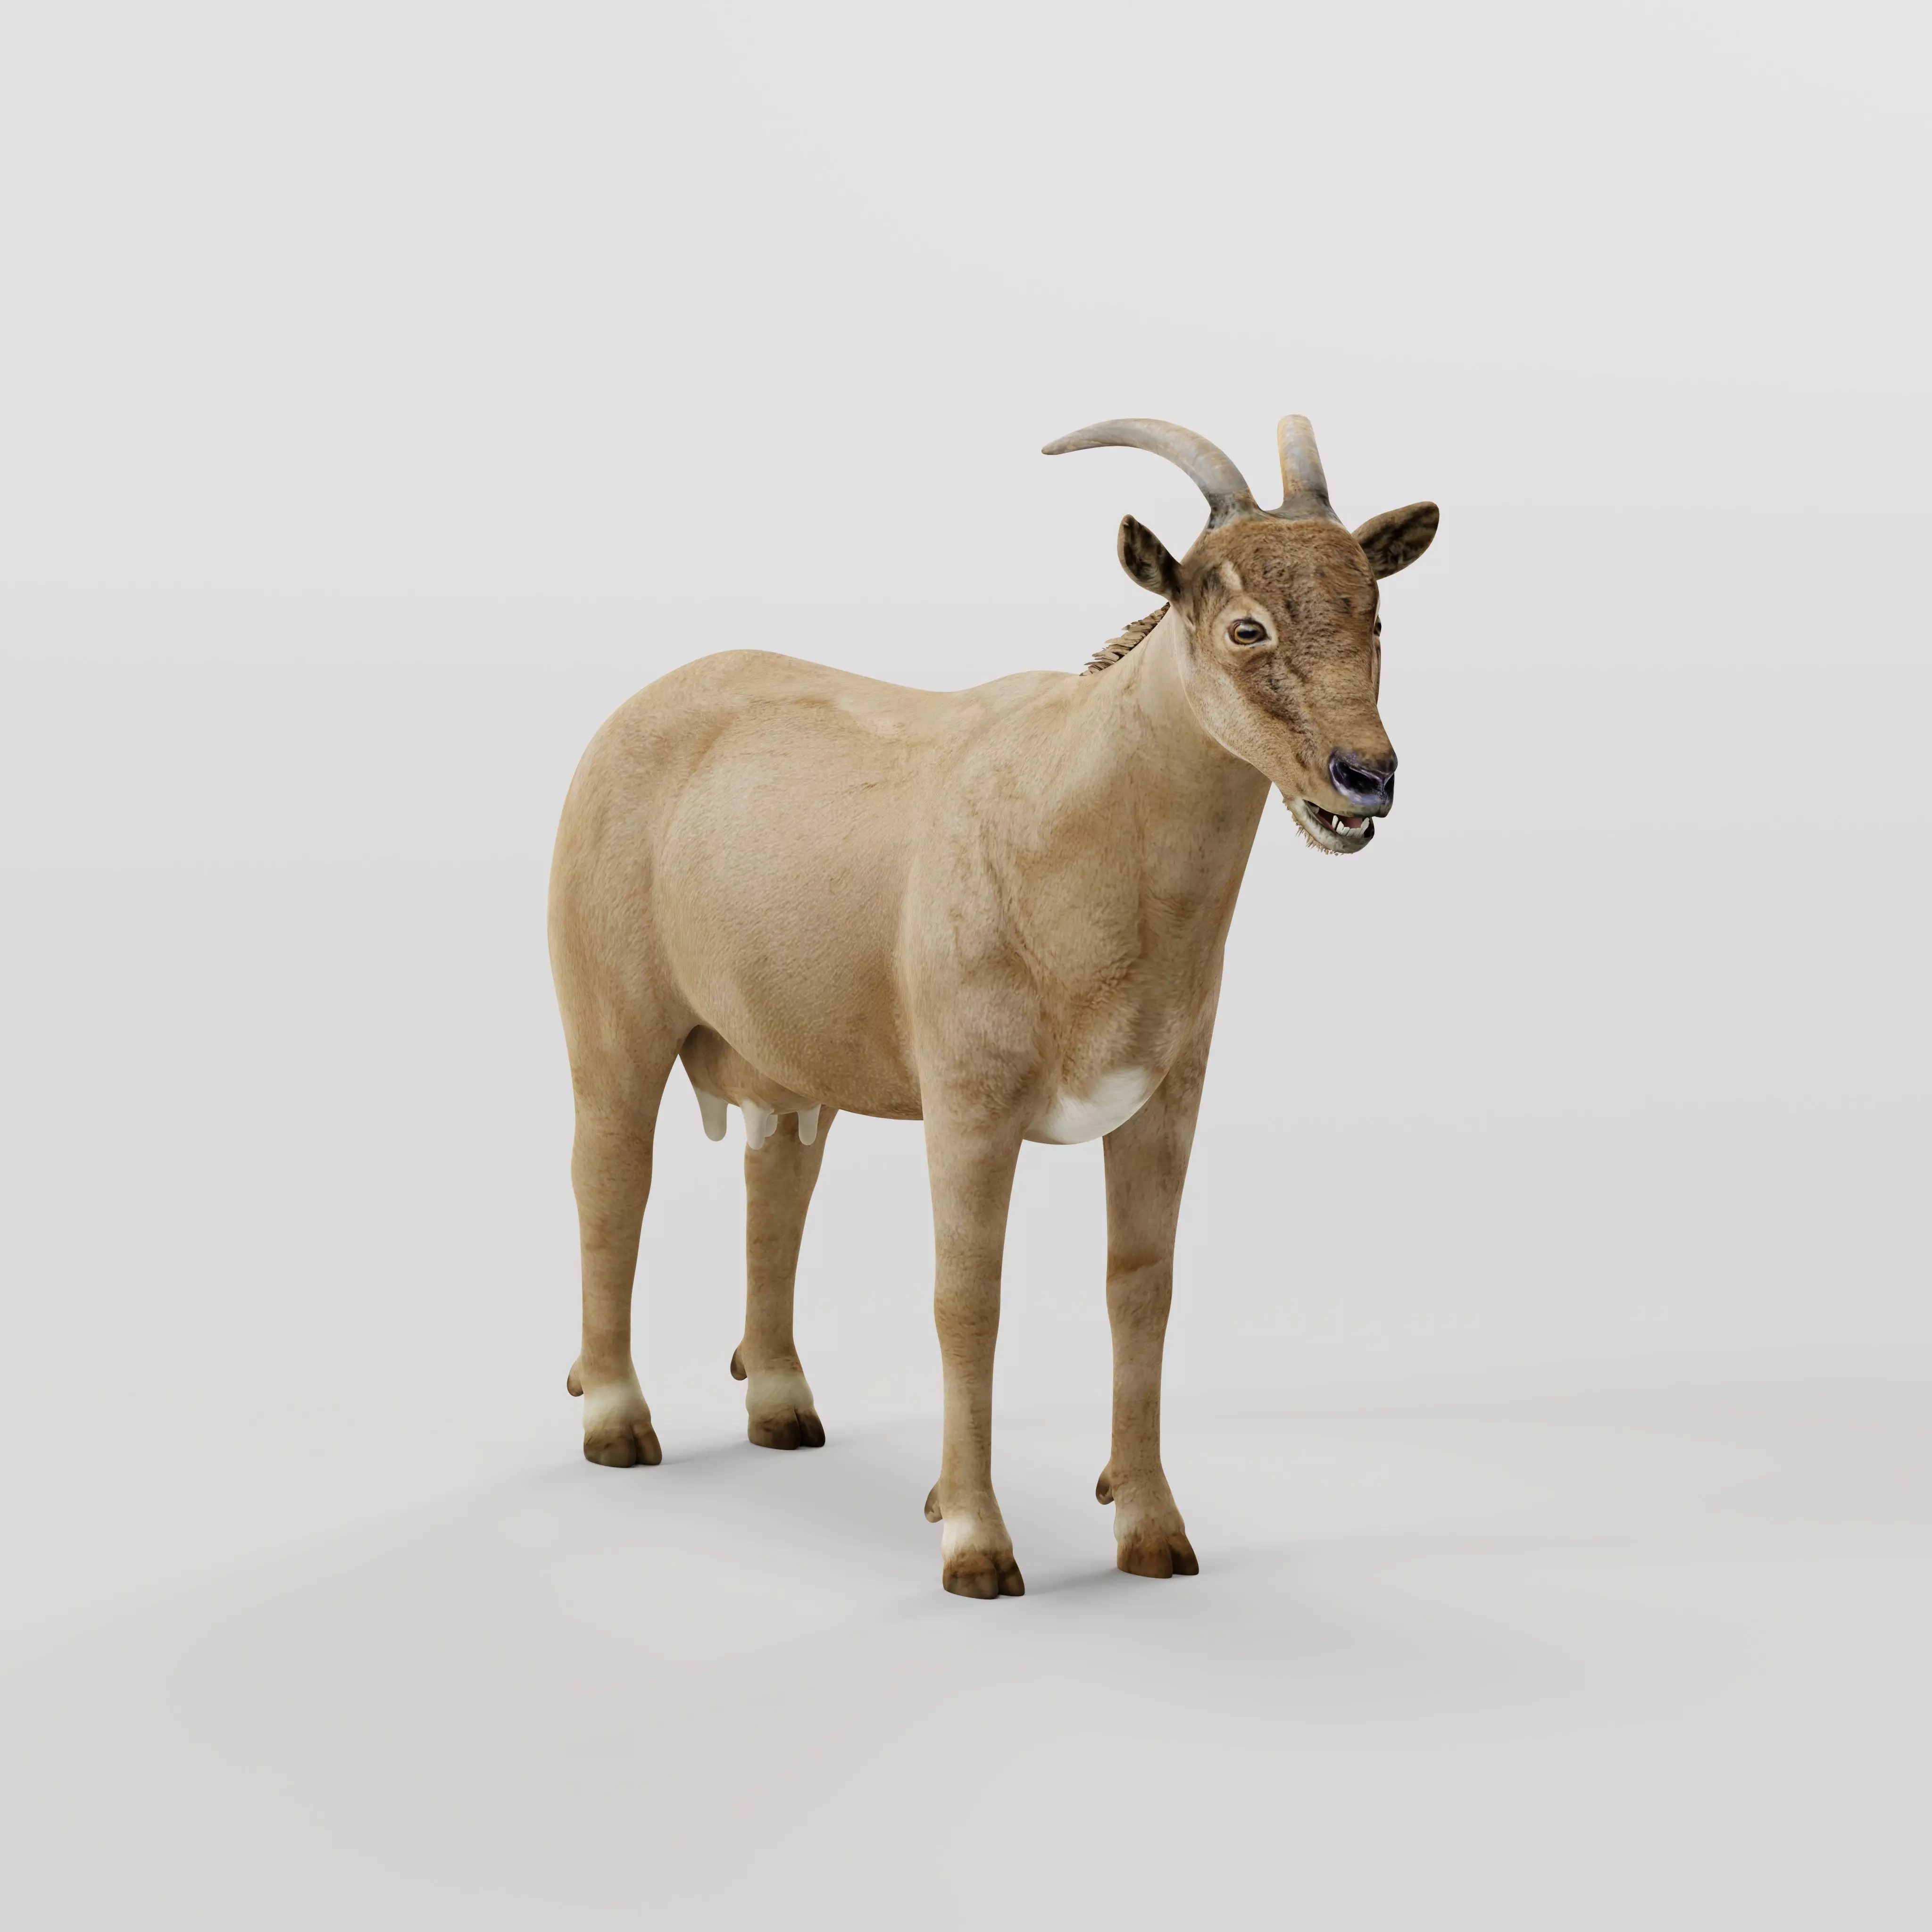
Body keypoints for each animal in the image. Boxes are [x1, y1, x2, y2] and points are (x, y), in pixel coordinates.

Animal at [548, 415, 1438, 1596]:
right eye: (1244, 625)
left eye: (1372, 611)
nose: (1362, 777)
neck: (1074, 813)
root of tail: (632, 713)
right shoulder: (970, 1106)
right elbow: (968, 1299)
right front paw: (974, 1541)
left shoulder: (1165, 1099)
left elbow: (1140, 1286)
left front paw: (1151, 1532)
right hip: (610, 1018)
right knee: (610, 1180)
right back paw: (616, 1420)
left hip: (782, 1058)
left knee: (775, 1182)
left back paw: (782, 1407)